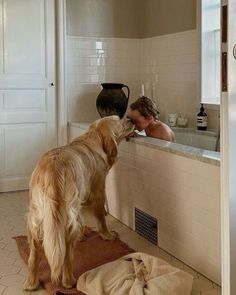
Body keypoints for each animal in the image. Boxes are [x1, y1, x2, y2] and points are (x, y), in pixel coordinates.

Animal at [24, 116, 135, 292]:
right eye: (119, 119)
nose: (131, 118)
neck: (94, 137)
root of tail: (52, 171)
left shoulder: (80, 199)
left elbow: (82, 219)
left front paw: (82, 235)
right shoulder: (98, 190)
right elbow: (101, 218)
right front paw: (107, 235)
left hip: (35, 220)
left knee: (33, 257)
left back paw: (31, 284)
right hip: (66, 223)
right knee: (67, 257)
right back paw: (69, 281)